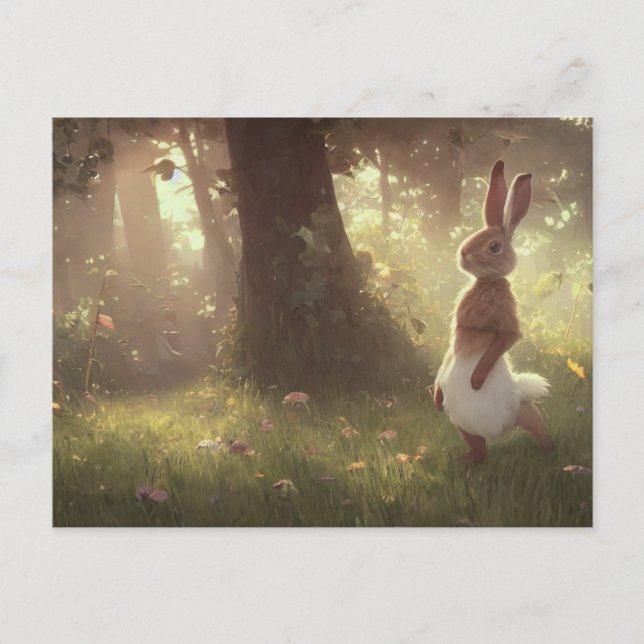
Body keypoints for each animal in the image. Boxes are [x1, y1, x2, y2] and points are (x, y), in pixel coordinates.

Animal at [433, 160, 554, 465]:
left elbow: (505, 340)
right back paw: (467, 461)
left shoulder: (507, 321)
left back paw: (552, 455)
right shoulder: (454, 338)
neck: (487, 282)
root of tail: (500, 434)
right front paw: (436, 396)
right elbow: (448, 355)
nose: (463, 253)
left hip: (524, 412)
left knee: (539, 427)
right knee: (479, 448)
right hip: (460, 422)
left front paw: (476, 379)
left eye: (495, 247)